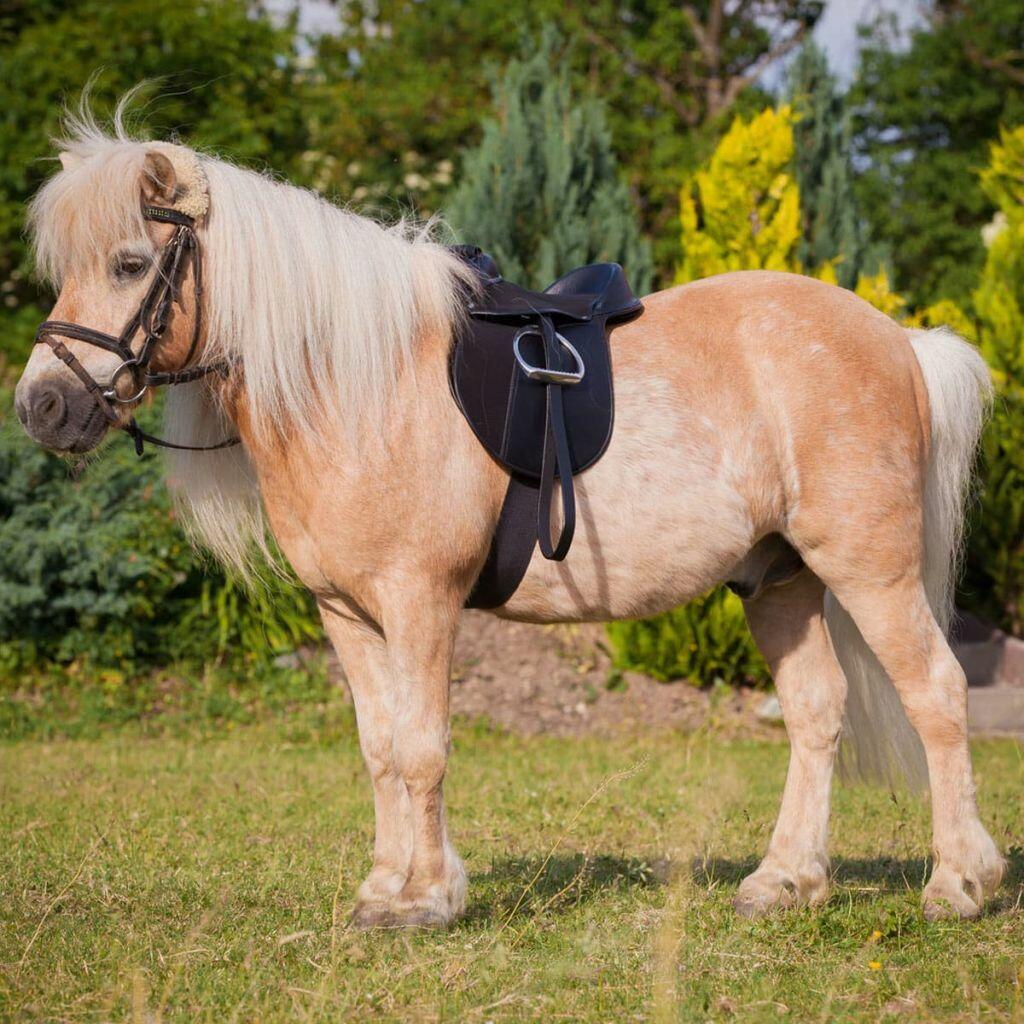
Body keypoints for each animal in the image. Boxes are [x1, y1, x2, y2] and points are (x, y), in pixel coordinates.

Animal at [14, 110, 1005, 929]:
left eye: (131, 264)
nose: (43, 407)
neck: (359, 382)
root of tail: (899, 341)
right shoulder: (346, 613)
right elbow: (379, 747)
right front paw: (385, 887)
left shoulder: (420, 600)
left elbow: (421, 747)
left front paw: (424, 901)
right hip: (779, 579)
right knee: (815, 712)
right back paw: (786, 881)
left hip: (869, 570)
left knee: (937, 692)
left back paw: (958, 883)